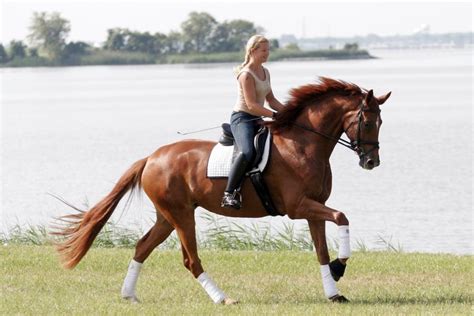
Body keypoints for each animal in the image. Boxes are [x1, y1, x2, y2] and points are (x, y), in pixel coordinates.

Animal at [52, 76, 392, 304]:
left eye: (380, 122)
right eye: (367, 122)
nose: (371, 162)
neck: (304, 145)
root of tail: (151, 157)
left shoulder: (313, 209)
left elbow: (322, 249)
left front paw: (334, 287)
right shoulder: (299, 207)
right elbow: (342, 217)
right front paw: (339, 268)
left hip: (167, 216)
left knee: (142, 247)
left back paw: (128, 295)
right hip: (181, 215)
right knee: (190, 260)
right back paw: (222, 298)